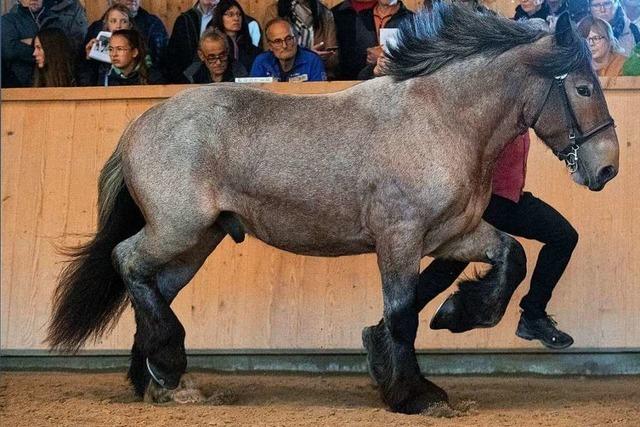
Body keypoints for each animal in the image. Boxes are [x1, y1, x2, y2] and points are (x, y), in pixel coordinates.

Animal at [50, 5, 620, 416]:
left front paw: (458, 315)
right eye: (583, 87)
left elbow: (511, 256)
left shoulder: (450, 235)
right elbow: (402, 314)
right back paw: (167, 366)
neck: (440, 121)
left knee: (152, 288)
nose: (607, 168)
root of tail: (138, 126)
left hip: (197, 241)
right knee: (126, 261)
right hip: (177, 229)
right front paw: (415, 395)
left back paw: (159, 380)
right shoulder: (400, 238)